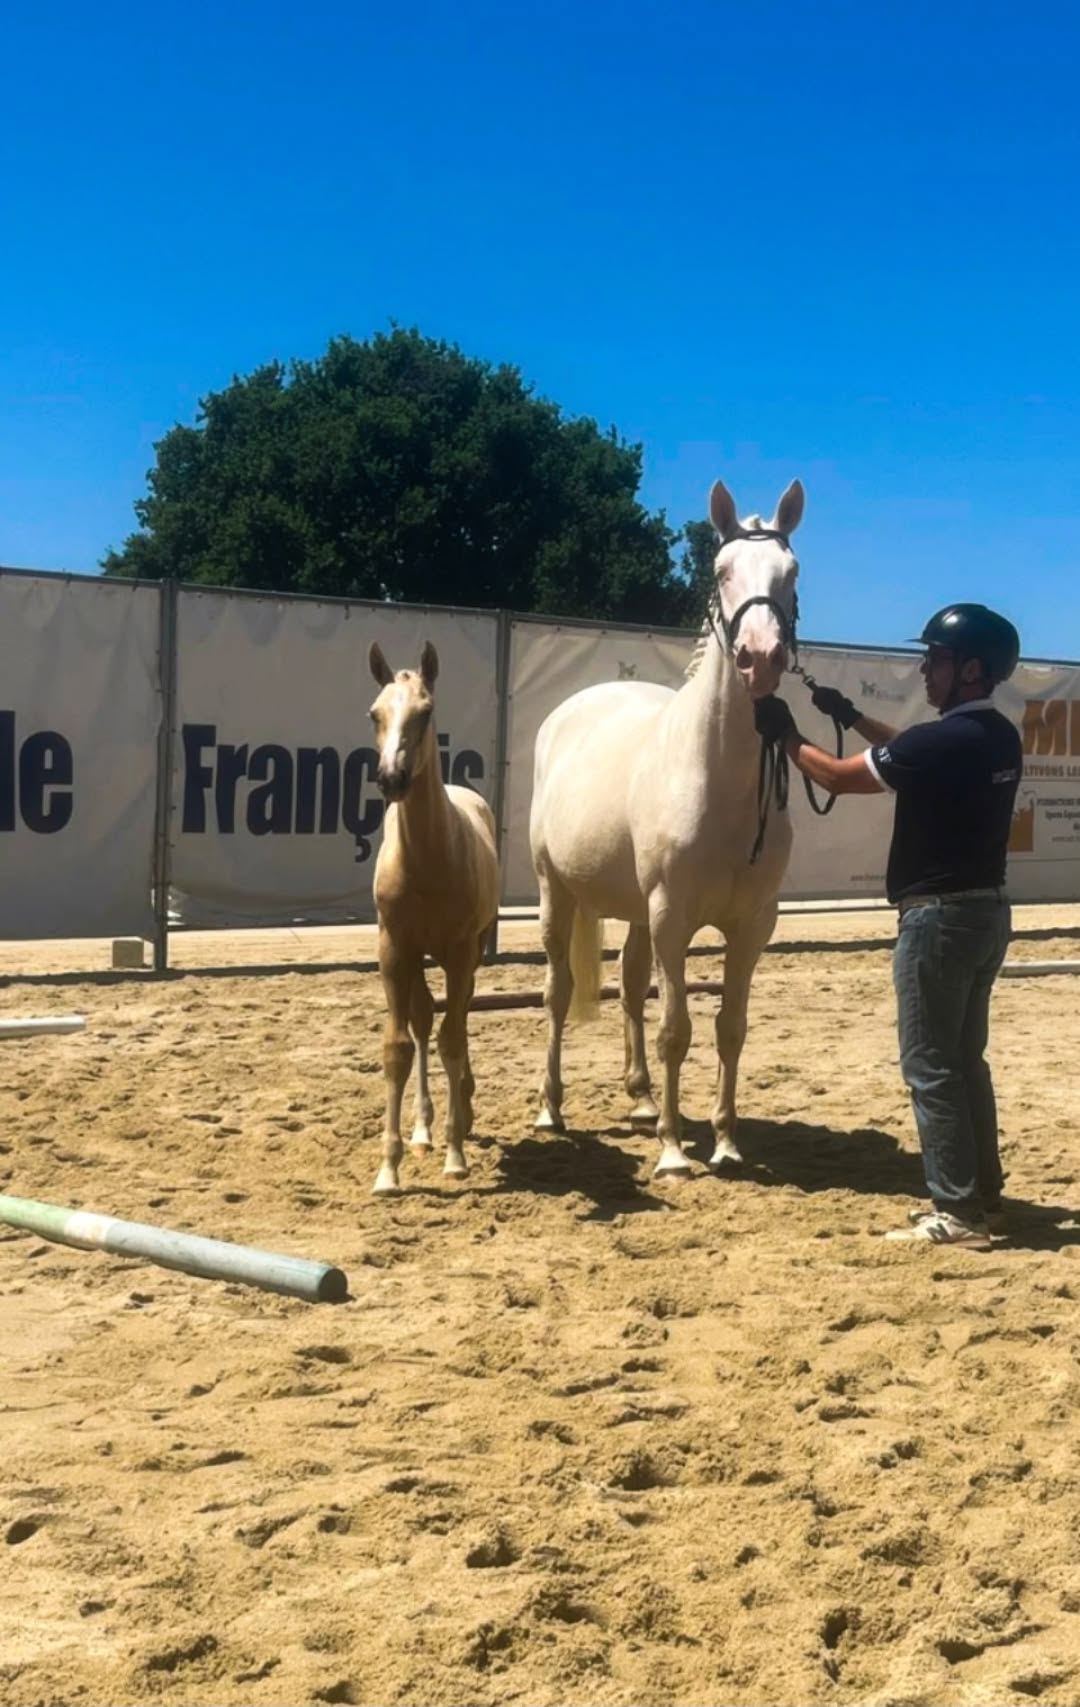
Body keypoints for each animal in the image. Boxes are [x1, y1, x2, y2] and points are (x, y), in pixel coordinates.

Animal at [528, 477, 804, 1177]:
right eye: (722, 570)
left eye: (791, 572)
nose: (760, 658)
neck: (717, 779)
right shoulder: (671, 918)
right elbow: (675, 1029)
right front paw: (676, 1152)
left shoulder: (752, 925)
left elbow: (730, 1027)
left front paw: (726, 1141)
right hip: (556, 892)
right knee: (557, 992)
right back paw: (551, 1108)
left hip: (631, 909)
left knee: (628, 990)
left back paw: (643, 1100)